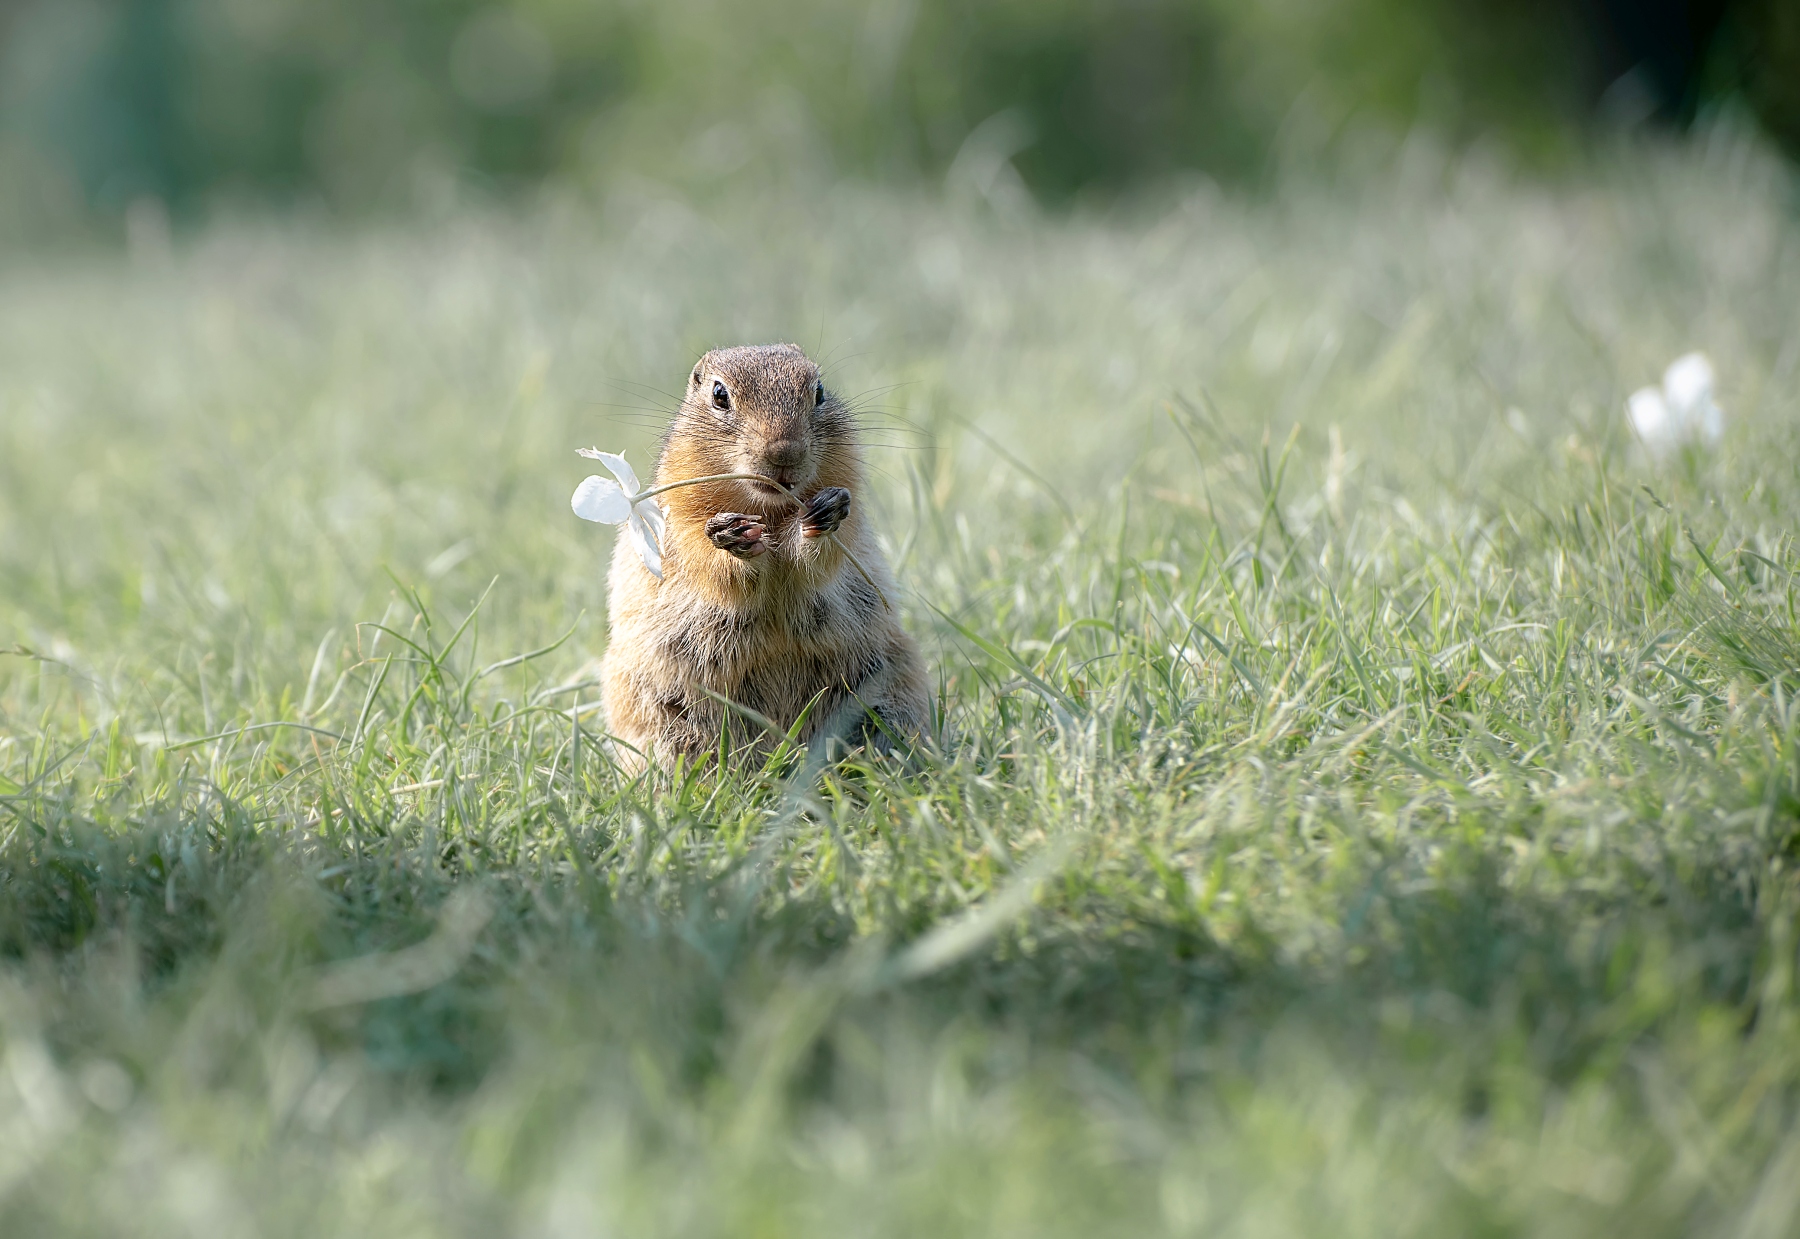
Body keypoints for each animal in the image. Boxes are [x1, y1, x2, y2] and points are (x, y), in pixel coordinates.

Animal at [604, 338, 936, 763]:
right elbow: (709, 561)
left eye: (819, 391)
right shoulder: (681, 521)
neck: (771, 510)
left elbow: (822, 557)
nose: (784, 452)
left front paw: (824, 513)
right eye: (720, 395)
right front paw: (734, 536)